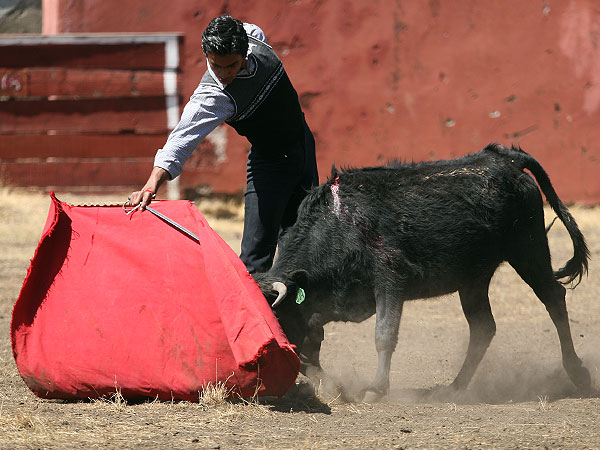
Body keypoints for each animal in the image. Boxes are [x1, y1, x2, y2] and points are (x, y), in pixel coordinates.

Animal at [252, 144, 592, 398]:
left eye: (276, 319)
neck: (336, 225)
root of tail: (505, 158)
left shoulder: (390, 278)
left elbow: (384, 334)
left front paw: (375, 389)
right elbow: (311, 350)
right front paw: (332, 386)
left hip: (528, 249)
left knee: (553, 298)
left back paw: (578, 373)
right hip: (474, 277)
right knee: (483, 326)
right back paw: (455, 388)